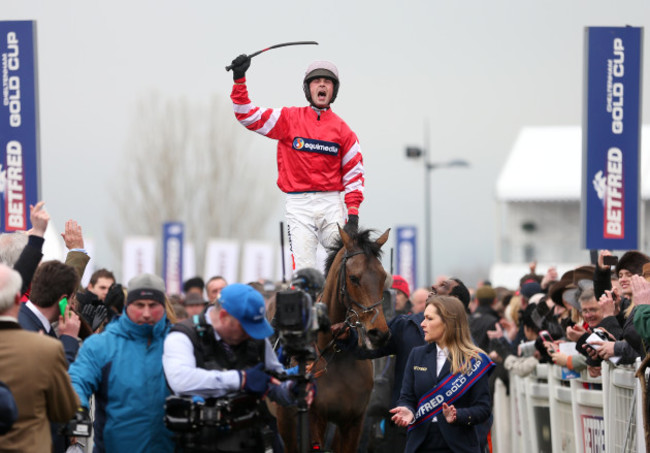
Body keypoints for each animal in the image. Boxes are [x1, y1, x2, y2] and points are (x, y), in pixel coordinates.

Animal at [274, 224, 388, 450]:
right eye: (354, 278)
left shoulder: (353, 421)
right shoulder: (313, 419)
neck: (336, 350)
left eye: (383, 277)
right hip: (285, 422)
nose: (378, 333)